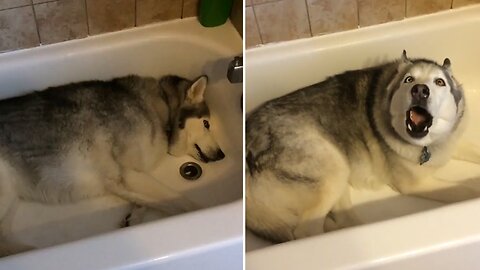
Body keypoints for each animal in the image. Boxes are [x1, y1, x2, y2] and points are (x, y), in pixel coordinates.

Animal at [0, 74, 225, 255]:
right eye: (206, 124)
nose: (222, 155)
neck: (160, 109)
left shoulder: (127, 180)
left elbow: (153, 200)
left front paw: (134, 215)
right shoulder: (127, 173)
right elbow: (182, 201)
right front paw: (200, 215)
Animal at [246, 50, 480, 243]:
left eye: (439, 82)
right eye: (409, 80)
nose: (420, 90)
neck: (429, 145)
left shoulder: (452, 142)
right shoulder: (412, 184)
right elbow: (462, 189)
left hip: (339, 171)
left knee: (343, 220)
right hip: (333, 167)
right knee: (305, 231)